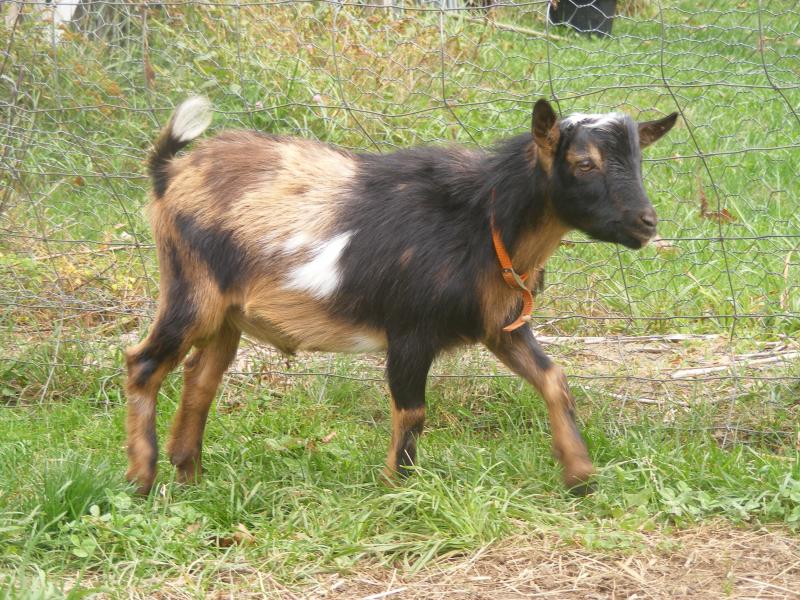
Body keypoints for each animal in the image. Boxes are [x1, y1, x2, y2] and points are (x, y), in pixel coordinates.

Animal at [125, 97, 677, 495]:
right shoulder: (410, 330)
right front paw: (397, 489)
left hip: (227, 315)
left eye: (639, 162)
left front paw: (579, 474)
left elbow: (553, 378)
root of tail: (169, 173)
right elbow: (413, 413)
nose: (647, 223)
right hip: (191, 291)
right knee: (144, 364)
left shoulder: (499, 326)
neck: (482, 219)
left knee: (200, 377)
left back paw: (190, 475)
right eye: (584, 163)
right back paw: (142, 480)